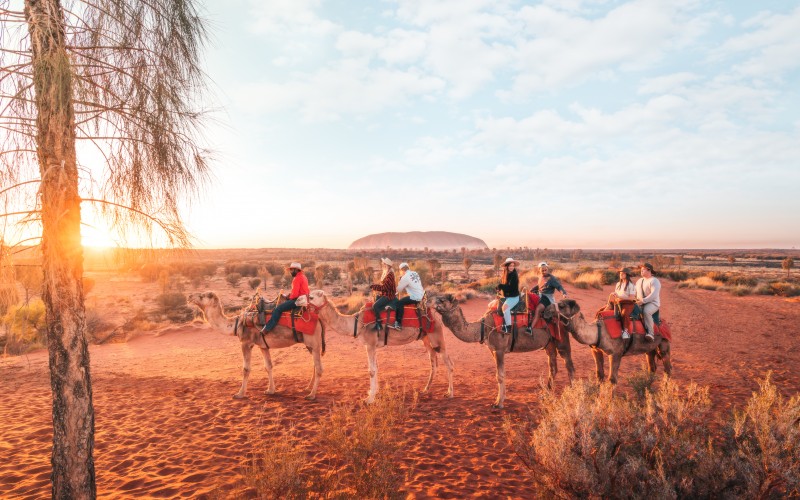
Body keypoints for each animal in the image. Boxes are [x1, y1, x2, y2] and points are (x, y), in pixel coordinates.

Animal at [188, 292, 324, 400]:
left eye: (202, 296)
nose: (189, 296)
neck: (236, 323)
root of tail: (319, 319)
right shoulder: (263, 346)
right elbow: (268, 366)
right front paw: (270, 390)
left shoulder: (246, 342)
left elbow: (246, 369)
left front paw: (239, 394)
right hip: (309, 344)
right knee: (315, 364)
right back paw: (308, 388)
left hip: (314, 342)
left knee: (319, 367)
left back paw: (312, 395)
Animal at [308, 292, 454, 404]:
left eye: (311, 297)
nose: (302, 301)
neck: (357, 323)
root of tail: (435, 314)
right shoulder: (371, 345)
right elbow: (376, 368)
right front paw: (373, 392)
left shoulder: (370, 344)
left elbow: (371, 370)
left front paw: (369, 399)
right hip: (426, 338)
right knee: (433, 360)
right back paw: (425, 389)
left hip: (436, 335)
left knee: (448, 362)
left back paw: (450, 393)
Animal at [432, 294, 576, 408]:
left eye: (442, 300)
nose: (431, 303)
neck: (483, 327)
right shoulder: (492, 350)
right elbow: (502, 374)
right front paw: (502, 398)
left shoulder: (499, 349)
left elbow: (499, 376)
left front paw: (498, 403)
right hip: (549, 343)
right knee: (553, 366)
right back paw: (546, 393)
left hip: (561, 338)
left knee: (569, 365)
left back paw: (572, 393)